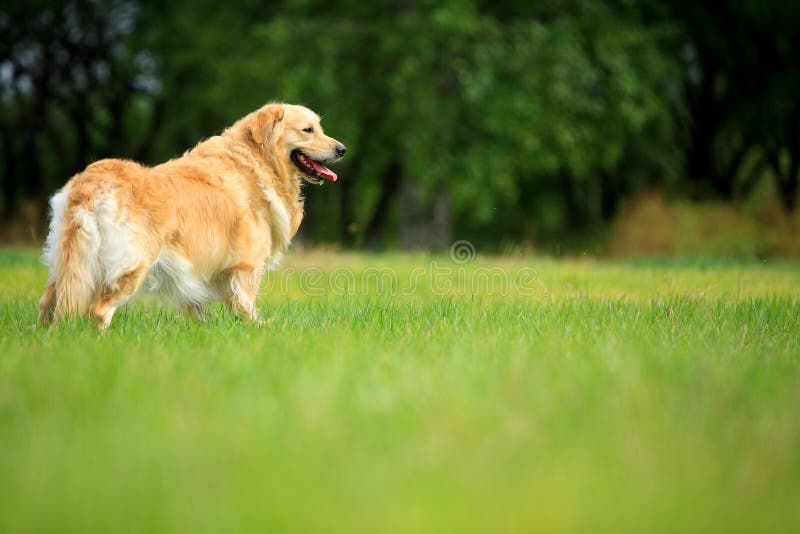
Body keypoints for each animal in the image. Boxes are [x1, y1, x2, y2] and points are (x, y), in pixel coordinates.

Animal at [38, 102, 344, 328]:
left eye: (320, 128)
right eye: (308, 130)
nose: (342, 149)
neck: (257, 162)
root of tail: (91, 185)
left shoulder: (193, 270)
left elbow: (197, 309)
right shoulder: (246, 267)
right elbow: (245, 305)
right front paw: (260, 328)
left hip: (69, 265)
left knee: (48, 305)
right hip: (129, 266)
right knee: (98, 311)